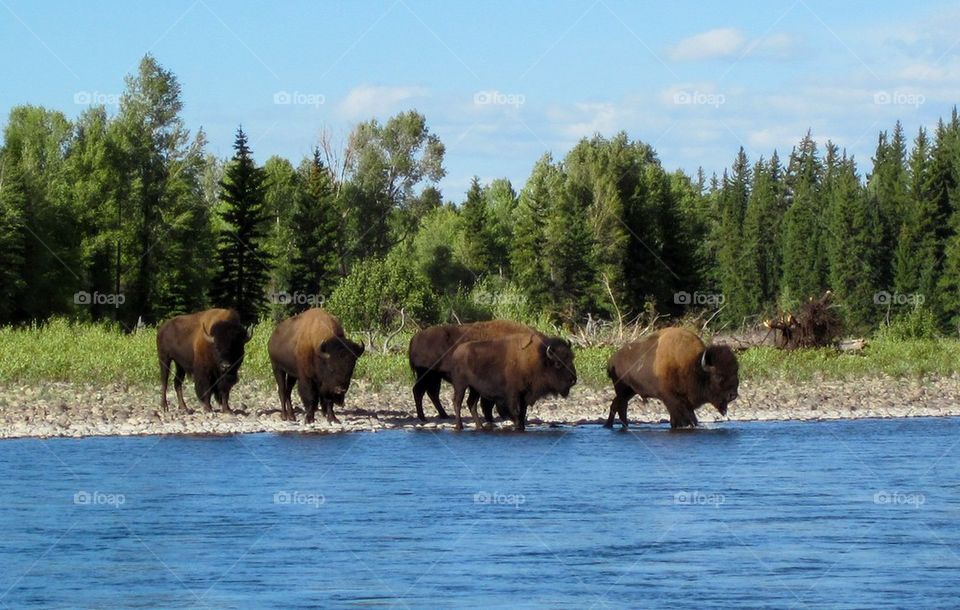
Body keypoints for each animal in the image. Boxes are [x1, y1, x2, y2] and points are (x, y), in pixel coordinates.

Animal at [406, 318, 540, 422]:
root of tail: (415, 338)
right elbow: (487, 402)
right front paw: (491, 418)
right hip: (427, 375)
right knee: (419, 391)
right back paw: (423, 417)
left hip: (434, 377)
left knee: (431, 393)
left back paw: (444, 415)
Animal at [604, 328, 740, 428]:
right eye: (718, 375)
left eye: (736, 372)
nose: (732, 395)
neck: (692, 365)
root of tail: (612, 360)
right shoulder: (671, 399)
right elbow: (682, 417)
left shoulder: (686, 402)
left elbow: (689, 417)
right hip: (622, 389)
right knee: (621, 405)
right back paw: (621, 426)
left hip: (630, 391)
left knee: (616, 404)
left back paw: (611, 425)